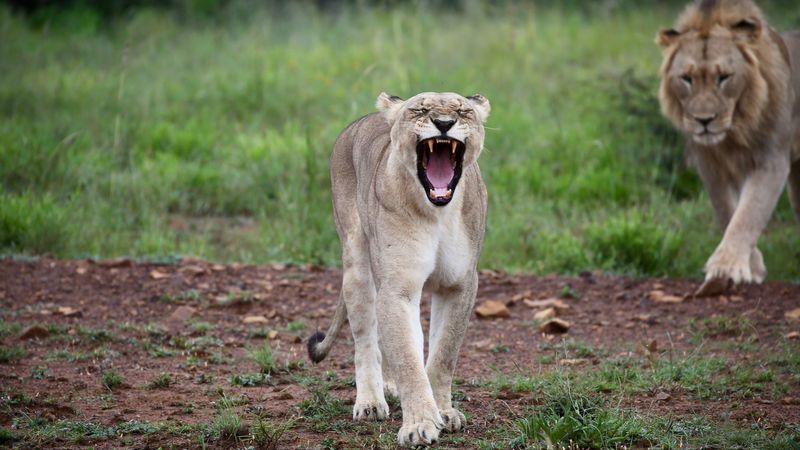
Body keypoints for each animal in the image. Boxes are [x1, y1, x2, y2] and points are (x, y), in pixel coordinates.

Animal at [306, 92, 490, 446]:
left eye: (462, 111)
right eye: (420, 109)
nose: (444, 123)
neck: (438, 213)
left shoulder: (459, 284)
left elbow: (442, 354)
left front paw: (444, 413)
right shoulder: (398, 287)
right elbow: (408, 360)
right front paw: (419, 425)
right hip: (357, 267)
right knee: (366, 340)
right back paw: (370, 402)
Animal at [656, 0, 800, 295]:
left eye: (724, 77)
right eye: (686, 78)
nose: (704, 120)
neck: (734, 132)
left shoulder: (772, 162)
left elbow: (749, 213)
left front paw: (727, 266)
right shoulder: (710, 166)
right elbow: (728, 212)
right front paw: (750, 267)